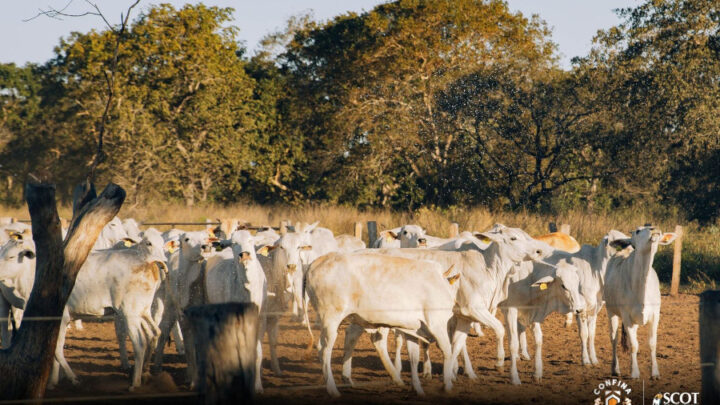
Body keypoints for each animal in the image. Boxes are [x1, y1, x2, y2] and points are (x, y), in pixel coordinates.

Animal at [51, 232, 168, 390]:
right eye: (148, 243)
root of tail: (150, 264)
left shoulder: (60, 316)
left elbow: (56, 350)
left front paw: (72, 379)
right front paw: (53, 382)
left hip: (130, 314)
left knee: (140, 343)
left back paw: (135, 383)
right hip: (143, 312)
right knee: (154, 333)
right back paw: (145, 372)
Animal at [306, 251, 458, 396]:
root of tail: (318, 261)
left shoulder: (414, 330)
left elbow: (414, 358)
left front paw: (418, 389)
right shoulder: (437, 323)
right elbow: (448, 351)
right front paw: (447, 386)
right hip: (330, 319)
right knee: (324, 349)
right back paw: (333, 389)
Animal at [604, 226, 676, 378]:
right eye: (638, 231)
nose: (654, 229)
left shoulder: (655, 315)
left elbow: (652, 343)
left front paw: (655, 373)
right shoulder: (626, 316)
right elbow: (633, 345)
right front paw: (635, 373)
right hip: (611, 311)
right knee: (614, 338)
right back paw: (615, 369)